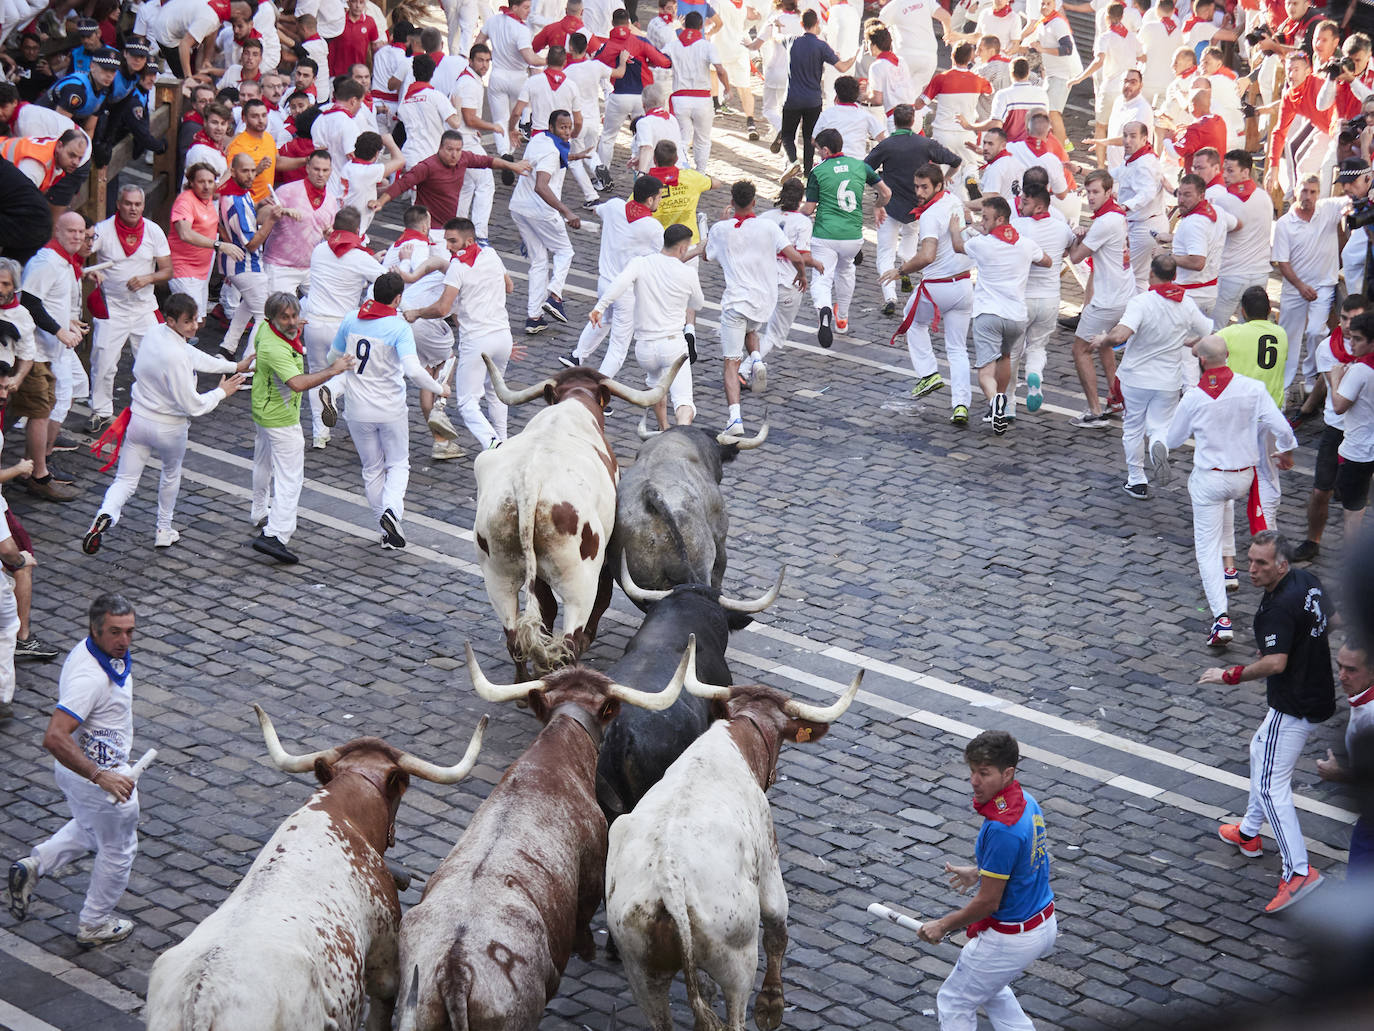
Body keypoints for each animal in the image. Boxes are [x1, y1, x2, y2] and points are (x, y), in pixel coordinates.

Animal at [472, 351, 687, 681]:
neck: (572, 403)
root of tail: (528, 480)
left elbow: (546, 609)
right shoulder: (606, 559)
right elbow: (603, 599)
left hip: (497, 573)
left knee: (515, 636)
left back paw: (522, 683)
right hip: (579, 581)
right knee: (570, 639)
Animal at [604, 646, 857, 1031]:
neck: (734, 741)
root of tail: (667, 882)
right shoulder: (769, 859)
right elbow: (777, 928)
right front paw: (771, 1006)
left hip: (641, 971)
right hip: (737, 961)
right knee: (736, 1011)